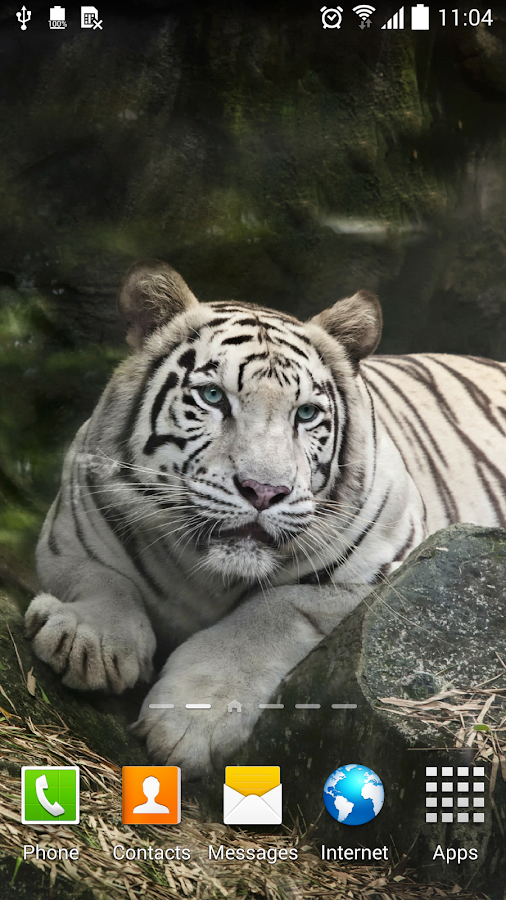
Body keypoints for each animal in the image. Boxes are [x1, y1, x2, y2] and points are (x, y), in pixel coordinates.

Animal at [24, 260, 506, 776]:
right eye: (213, 397)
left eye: (307, 413)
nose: (265, 490)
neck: (206, 574)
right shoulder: (68, 536)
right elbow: (101, 578)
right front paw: (88, 640)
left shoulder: (382, 574)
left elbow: (273, 610)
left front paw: (190, 720)